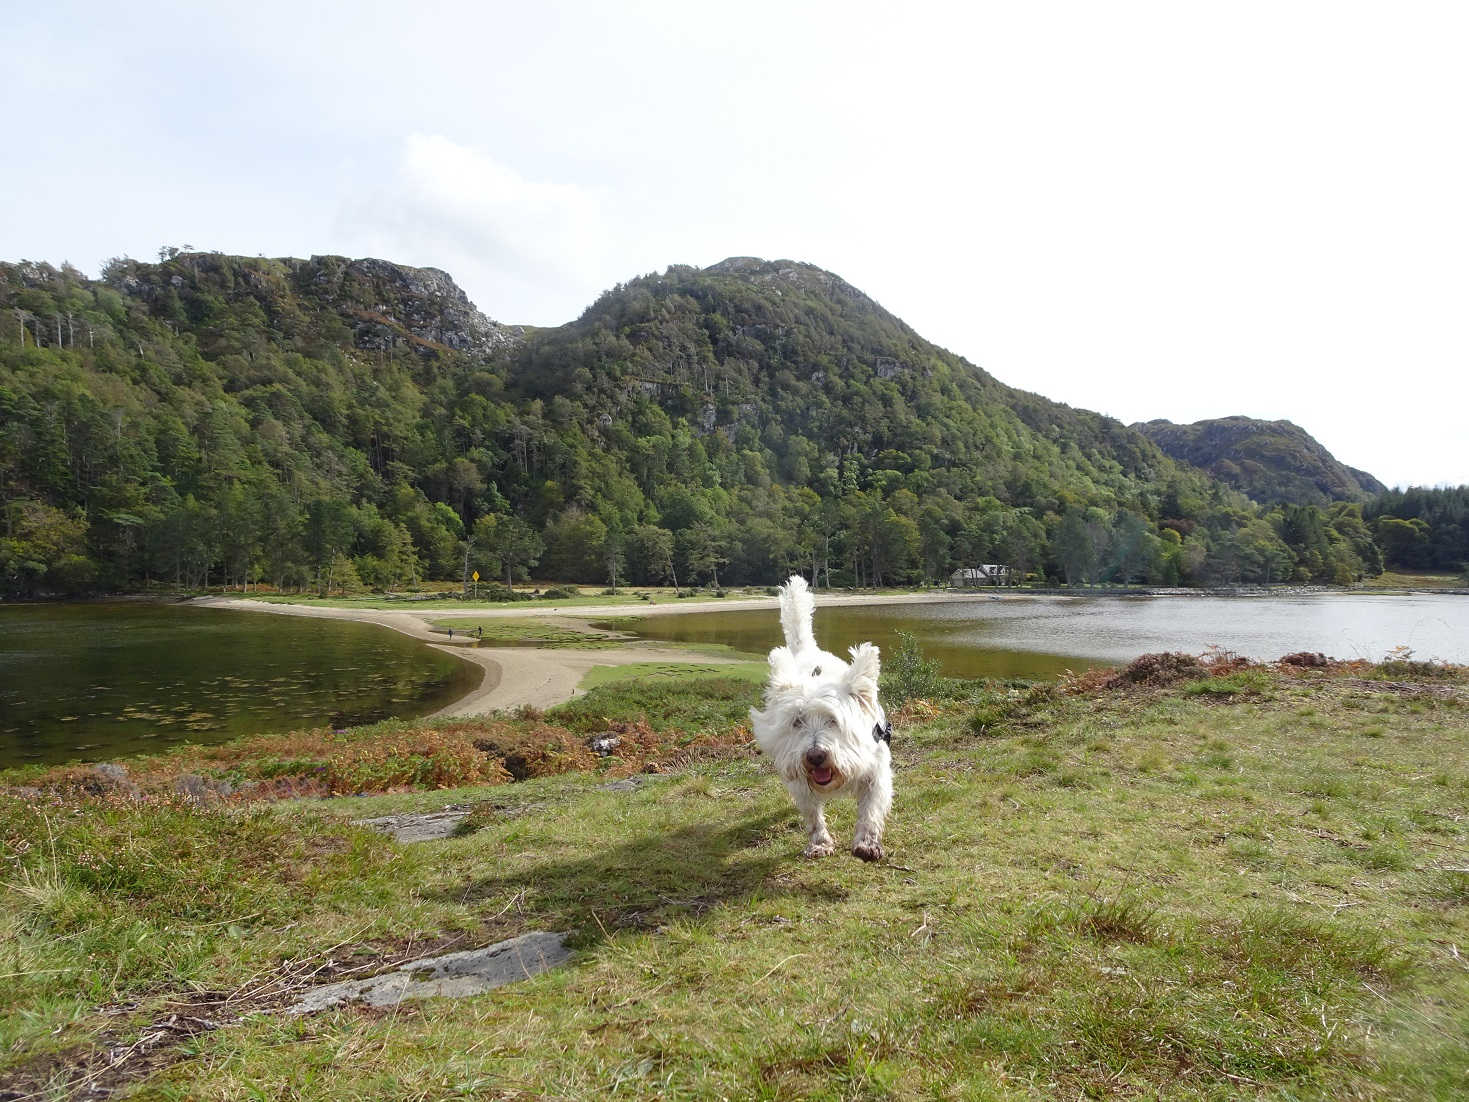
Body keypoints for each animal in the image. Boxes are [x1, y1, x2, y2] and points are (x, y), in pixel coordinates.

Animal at [752, 578, 887, 863]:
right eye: (797, 721)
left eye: (833, 721)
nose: (815, 756)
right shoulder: (800, 782)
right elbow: (813, 815)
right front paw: (819, 844)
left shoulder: (877, 770)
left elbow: (871, 808)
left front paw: (867, 844)